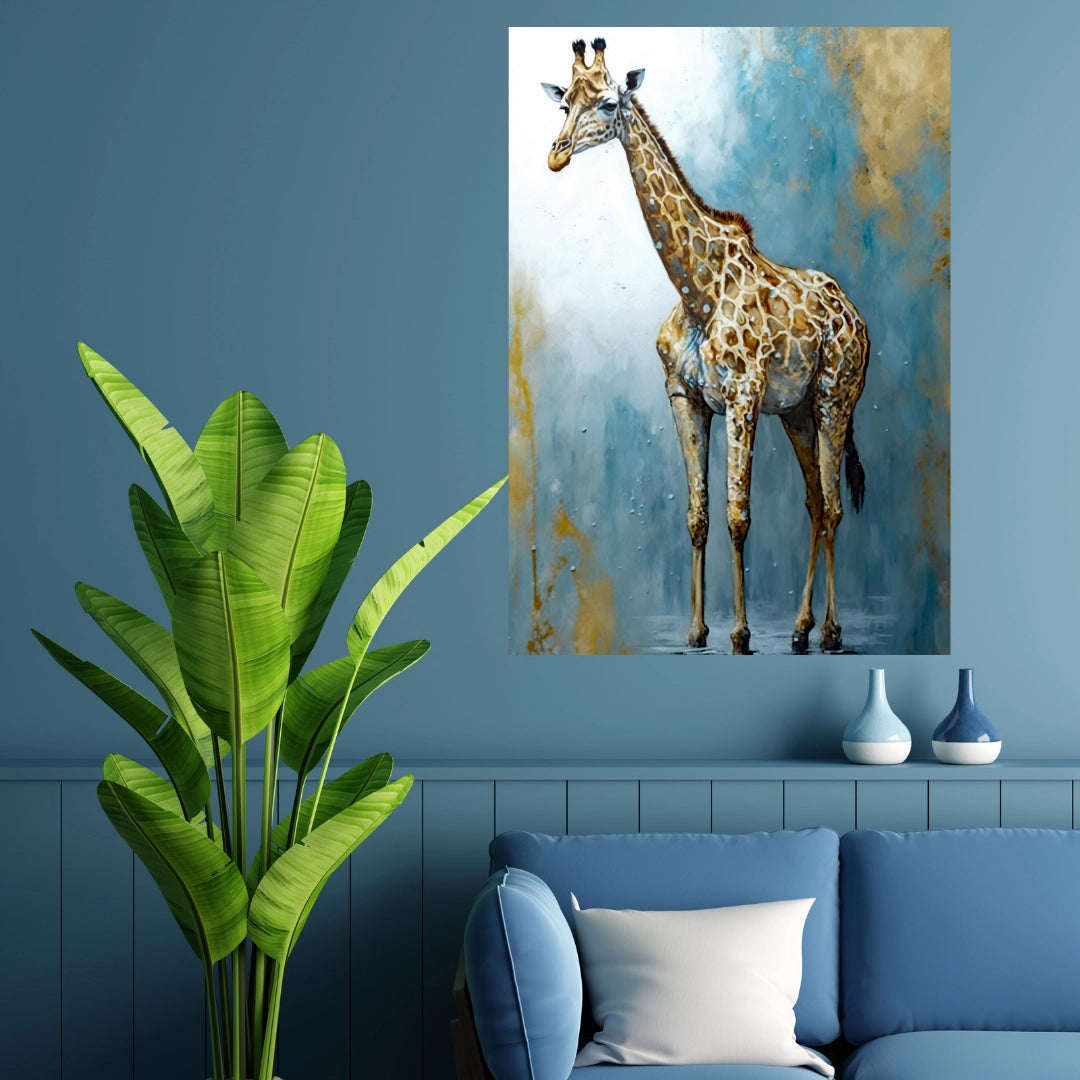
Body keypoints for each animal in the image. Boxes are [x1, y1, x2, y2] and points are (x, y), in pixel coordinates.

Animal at [541, 36, 870, 654]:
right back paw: (799, 628)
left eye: (607, 104)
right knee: (816, 504)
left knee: (835, 506)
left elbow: (739, 516)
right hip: (796, 411)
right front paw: (696, 631)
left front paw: (740, 633)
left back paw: (832, 630)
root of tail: (857, 316)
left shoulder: (742, 398)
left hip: (835, 398)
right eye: (564, 102)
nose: (556, 154)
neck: (696, 289)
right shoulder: (685, 399)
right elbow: (699, 517)